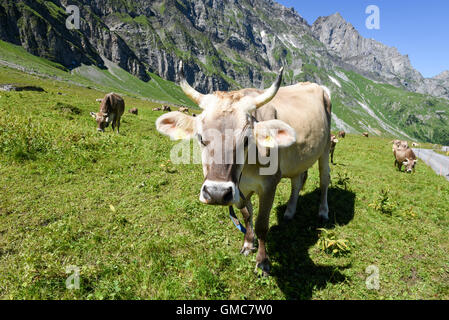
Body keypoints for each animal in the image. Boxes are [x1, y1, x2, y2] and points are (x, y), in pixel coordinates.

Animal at [156, 62, 330, 276]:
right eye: (200, 137)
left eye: (246, 139)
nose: (216, 193)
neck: (247, 169)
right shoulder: (239, 190)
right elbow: (247, 215)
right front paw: (248, 243)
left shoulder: (270, 184)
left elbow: (262, 224)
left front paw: (263, 262)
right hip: (299, 158)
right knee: (297, 183)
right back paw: (289, 212)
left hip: (326, 148)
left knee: (324, 180)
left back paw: (323, 212)